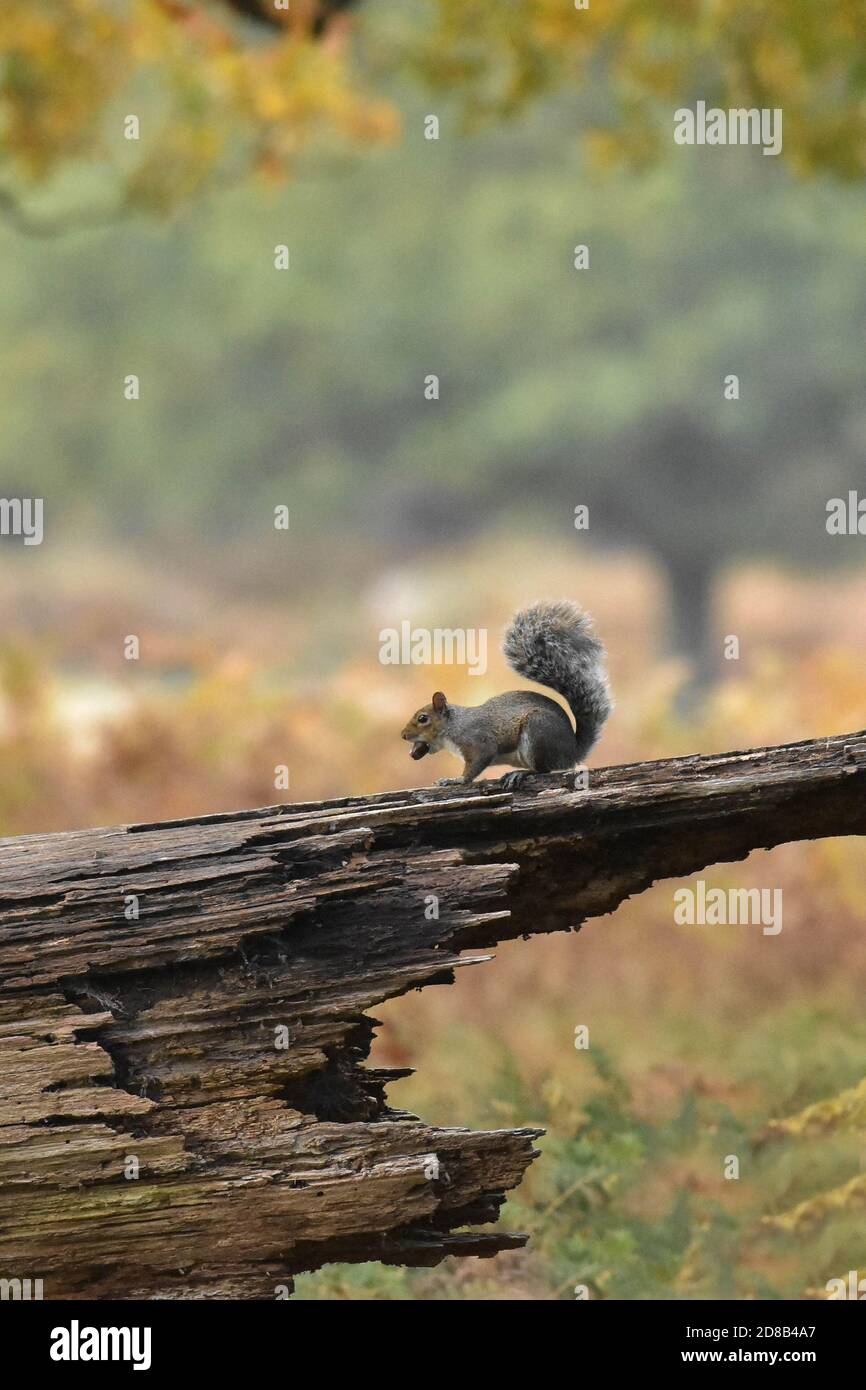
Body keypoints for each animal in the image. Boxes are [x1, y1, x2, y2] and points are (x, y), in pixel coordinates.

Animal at [400, 599, 613, 788]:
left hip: (537, 732)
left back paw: (521, 773)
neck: (453, 726)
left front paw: (456, 780)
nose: (403, 735)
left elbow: (476, 764)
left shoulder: (479, 742)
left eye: (422, 718)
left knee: (543, 770)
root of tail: (571, 753)